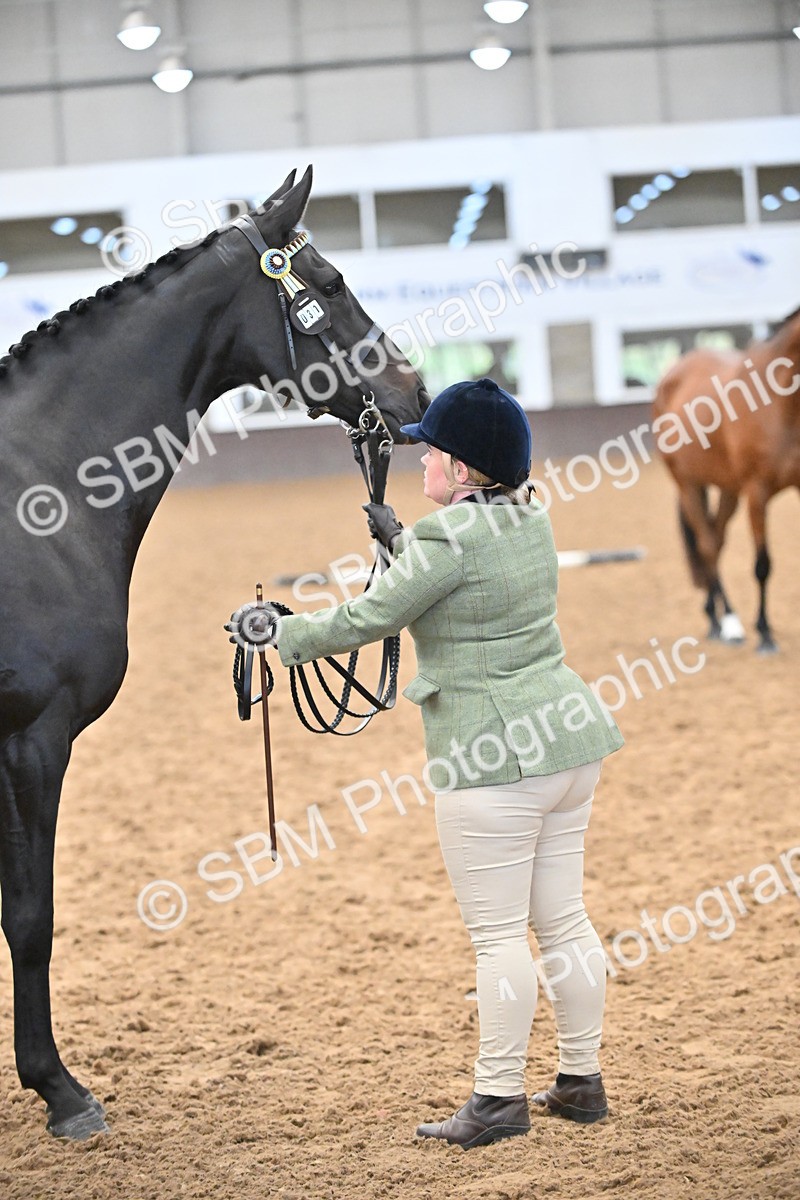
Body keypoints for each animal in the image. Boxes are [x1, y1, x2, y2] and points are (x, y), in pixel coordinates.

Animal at [0, 166, 429, 1141]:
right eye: (333, 284)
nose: (416, 391)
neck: (32, 493)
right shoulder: (32, 740)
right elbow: (31, 917)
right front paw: (61, 1091)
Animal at [652, 305, 800, 653]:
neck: (780, 403)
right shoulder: (757, 493)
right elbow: (763, 565)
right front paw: (765, 633)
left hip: (728, 489)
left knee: (716, 541)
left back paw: (714, 617)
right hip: (688, 485)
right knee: (707, 545)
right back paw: (728, 624)